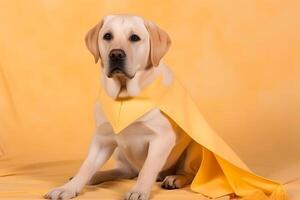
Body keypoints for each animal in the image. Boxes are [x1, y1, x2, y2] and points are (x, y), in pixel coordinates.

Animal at [44, 14, 203, 200]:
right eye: (107, 36)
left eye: (134, 38)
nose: (116, 54)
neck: (124, 97)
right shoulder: (103, 138)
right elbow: (87, 166)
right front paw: (69, 187)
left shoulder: (162, 138)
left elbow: (148, 168)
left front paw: (139, 190)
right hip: (120, 152)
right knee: (124, 172)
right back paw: (96, 176)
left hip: (193, 146)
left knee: (189, 173)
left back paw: (174, 179)